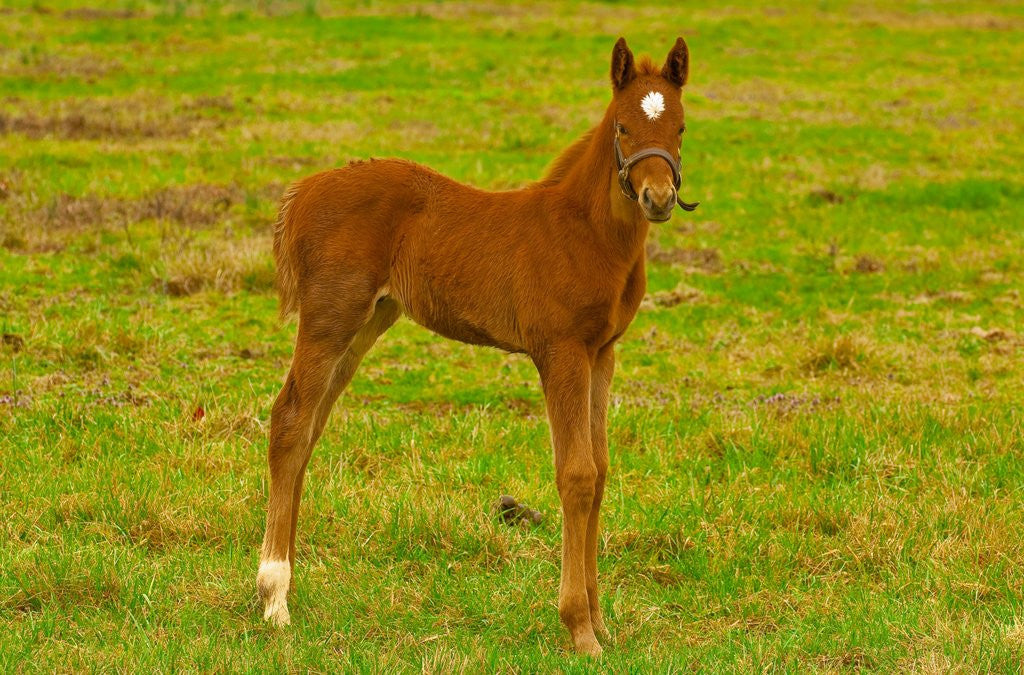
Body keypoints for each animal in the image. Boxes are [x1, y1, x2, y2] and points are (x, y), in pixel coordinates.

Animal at [257, 37, 696, 656]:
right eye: (623, 126)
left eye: (680, 127)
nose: (658, 196)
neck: (584, 233)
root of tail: (302, 192)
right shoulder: (560, 350)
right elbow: (577, 474)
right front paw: (579, 628)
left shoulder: (602, 351)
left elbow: (602, 469)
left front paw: (602, 622)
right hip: (329, 318)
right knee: (291, 421)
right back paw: (274, 597)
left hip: (368, 321)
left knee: (311, 428)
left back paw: (288, 586)